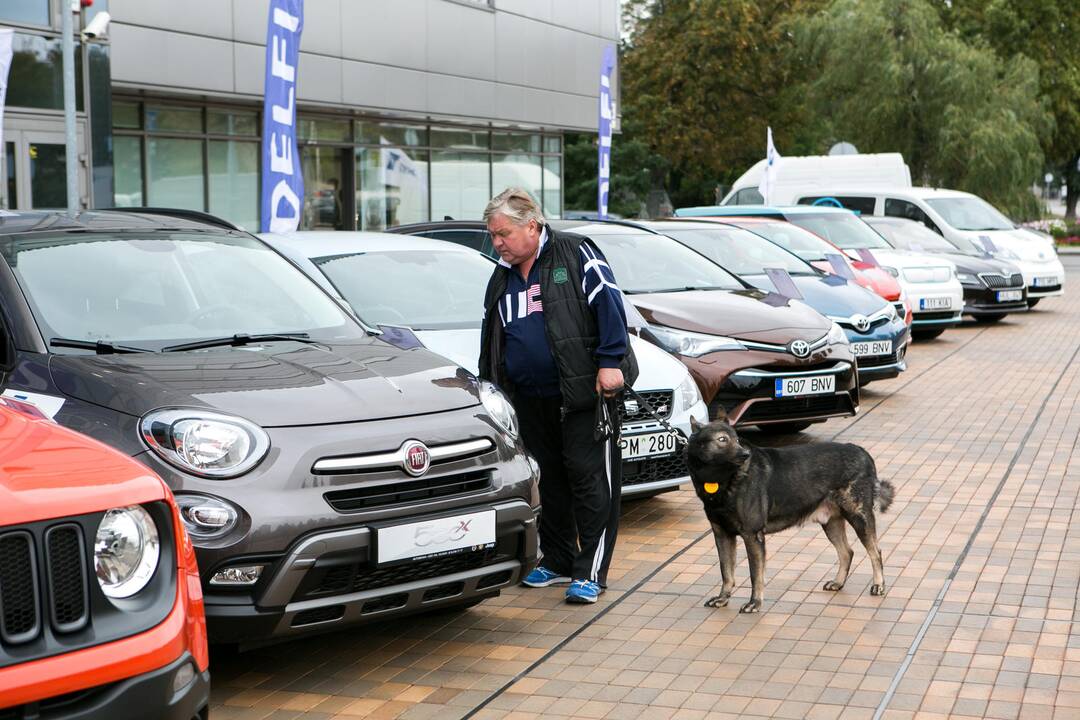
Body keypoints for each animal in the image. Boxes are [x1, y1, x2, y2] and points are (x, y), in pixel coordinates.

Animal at [691, 414, 894, 613]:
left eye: (738, 440)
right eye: (722, 439)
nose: (745, 454)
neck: (722, 480)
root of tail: (861, 451)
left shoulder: (752, 536)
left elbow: (755, 575)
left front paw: (754, 603)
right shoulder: (722, 535)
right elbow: (726, 572)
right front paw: (722, 598)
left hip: (859, 518)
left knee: (875, 552)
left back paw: (878, 585)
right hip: (831, 523)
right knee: (847, 552)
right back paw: (838, 582)